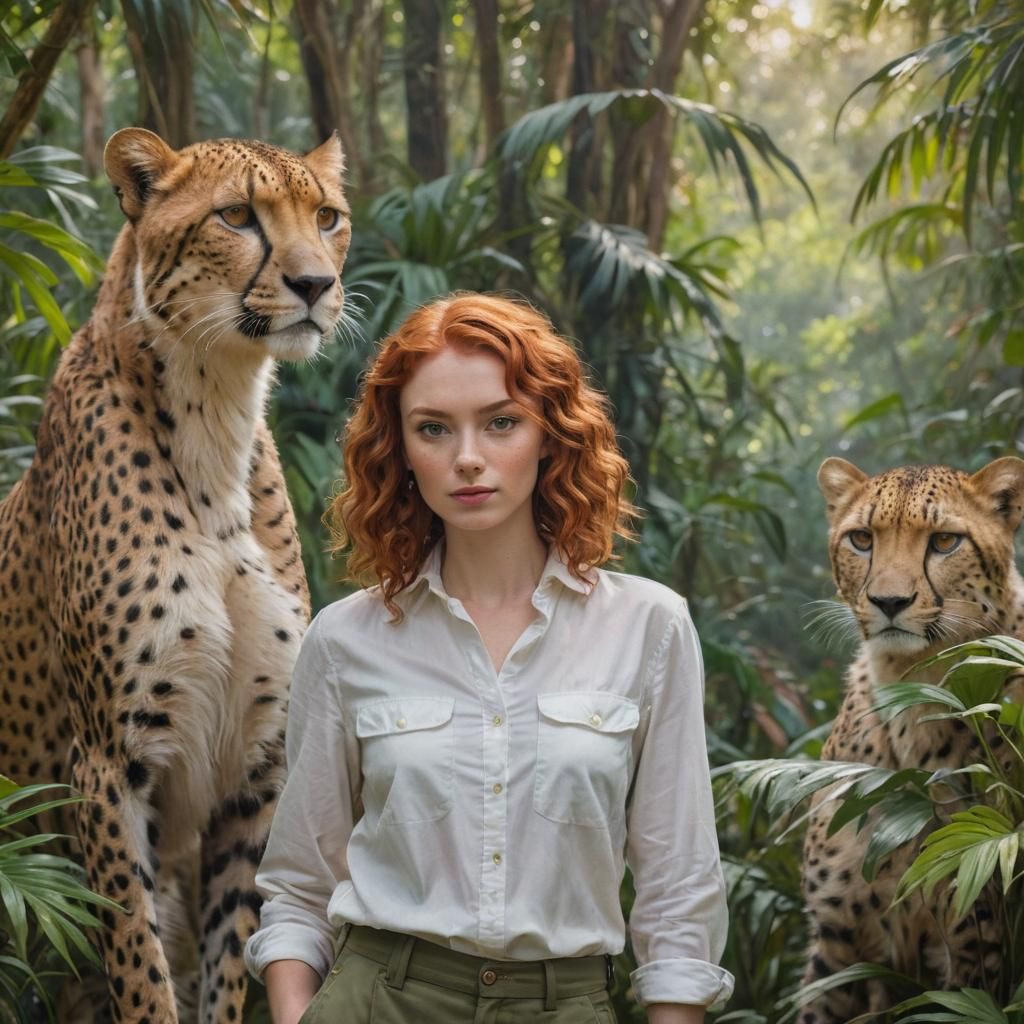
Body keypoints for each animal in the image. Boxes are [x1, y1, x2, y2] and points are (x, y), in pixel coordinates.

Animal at [0, 128, 351, 1023]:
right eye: (237, 217)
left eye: (327, 218)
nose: (315, 285)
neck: (216, 409)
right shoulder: (106, 764)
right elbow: (136, 956)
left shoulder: (255, 773)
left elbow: (229, 964)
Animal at [798, 456, 1024, 1023]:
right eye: (861, 539)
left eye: (944, 542)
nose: (889, 601)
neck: (907, 681)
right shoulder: (836, 944)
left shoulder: (975, 940)